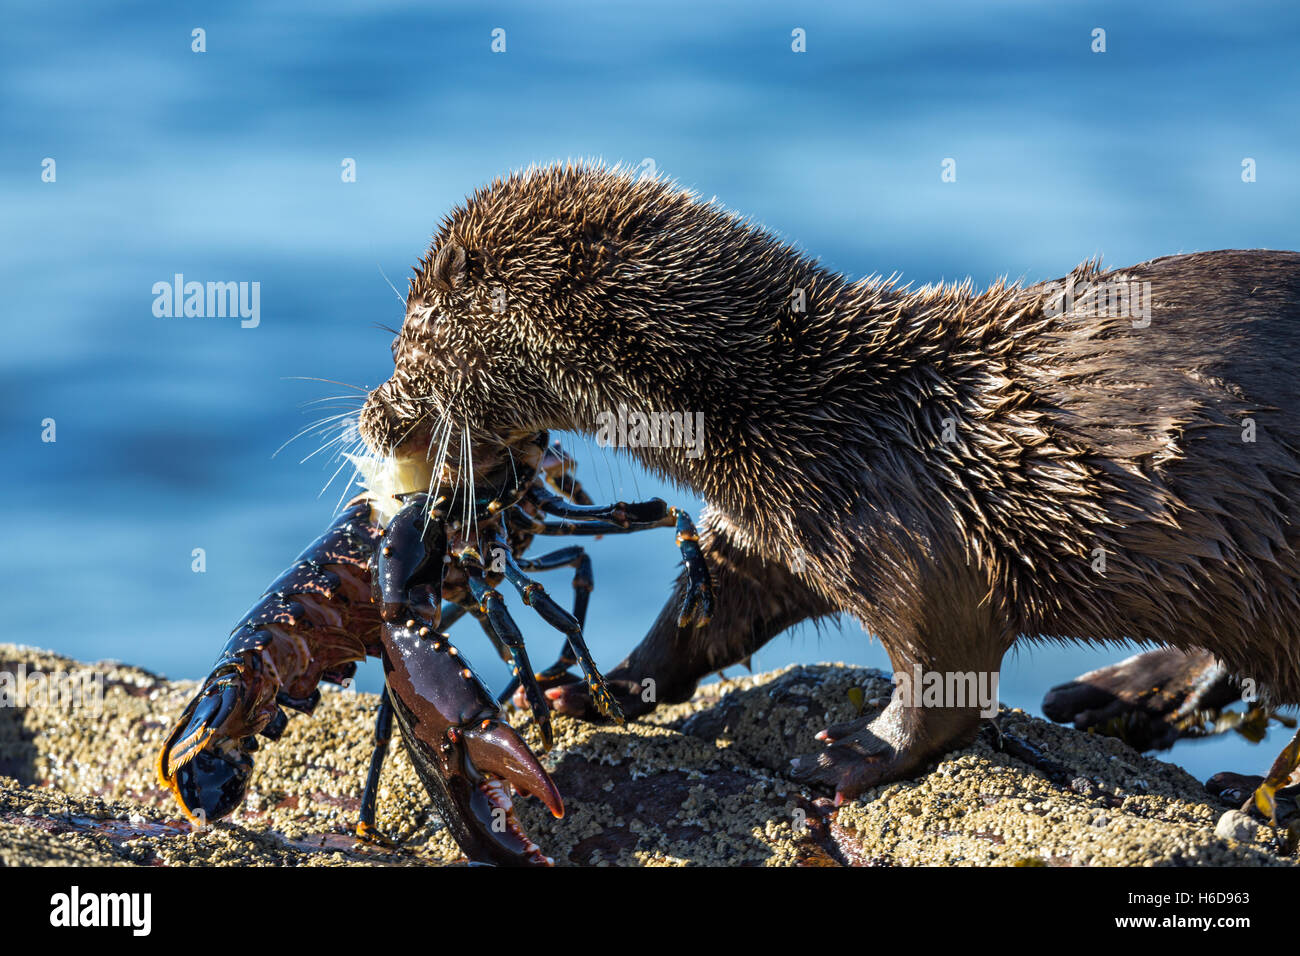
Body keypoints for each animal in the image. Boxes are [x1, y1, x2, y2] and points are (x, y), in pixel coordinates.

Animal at [359, 162, 1300, 809]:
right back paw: (1124, 694)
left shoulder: (916, 533)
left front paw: (853, 754)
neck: (815, 408)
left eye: (416, 334)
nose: (374, 416)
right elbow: (707, 609)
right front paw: (605, 685)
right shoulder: (774, 526)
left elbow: (946, 673)